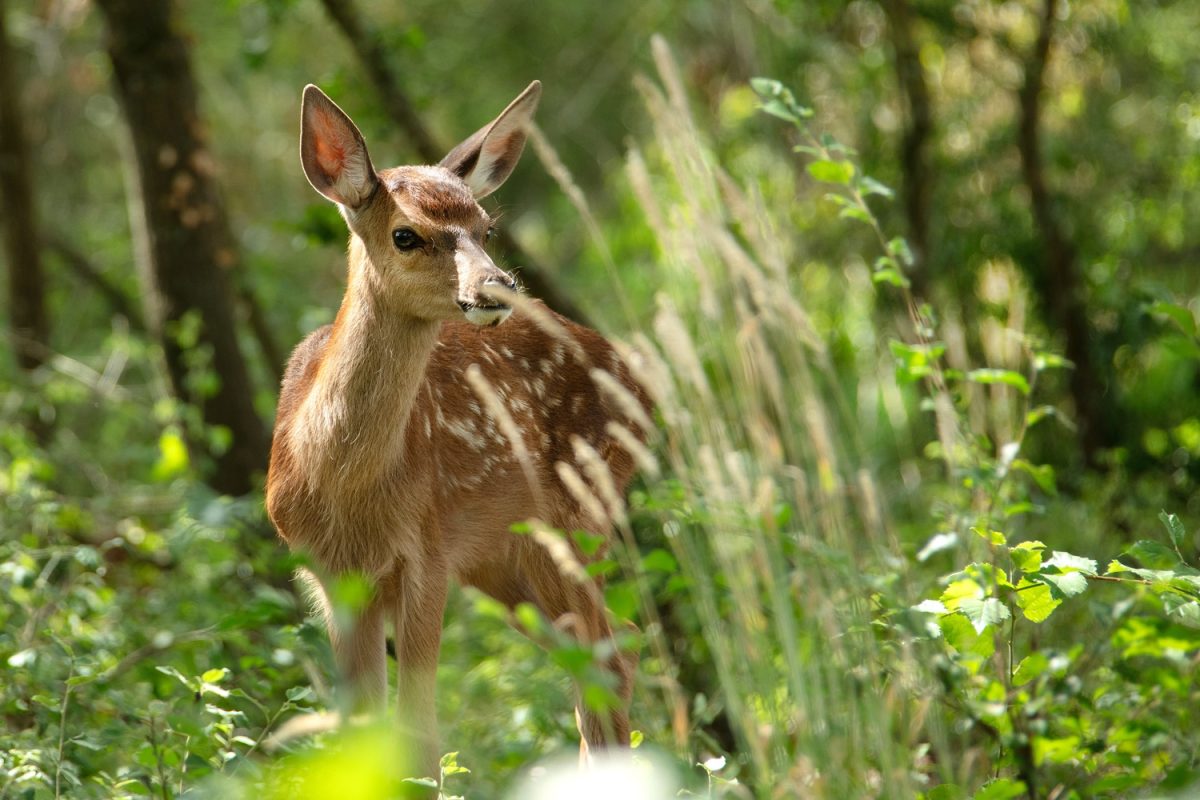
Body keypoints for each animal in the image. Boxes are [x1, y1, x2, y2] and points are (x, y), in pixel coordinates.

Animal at [265, 81, 657, 777]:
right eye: (406, 234)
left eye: (486, 227)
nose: (497, 285)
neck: (340, 485)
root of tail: (635, 376)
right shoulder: (332, 577)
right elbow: (361, 733)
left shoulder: (425, 552)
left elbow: (418, 739)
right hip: (507, 561)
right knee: (615, 647)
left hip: (578, 518)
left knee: (608, 657)